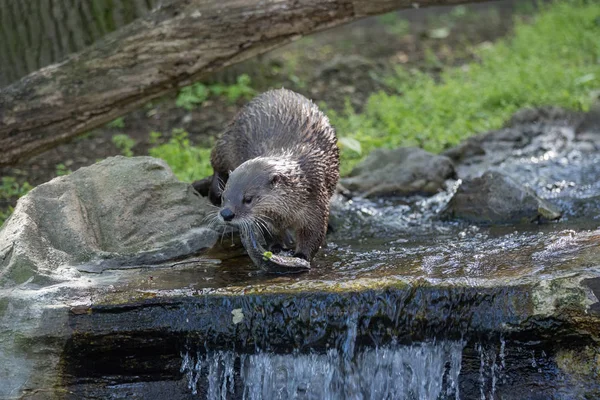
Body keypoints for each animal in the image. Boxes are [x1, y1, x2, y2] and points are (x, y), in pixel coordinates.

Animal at [200, 87, 338, 268]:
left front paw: (301, 256)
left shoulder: (316, 201)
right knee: (216, 164)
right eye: (225, 197)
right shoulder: (268, 217)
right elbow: (271, 231)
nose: (226, 214)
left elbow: (313, 234)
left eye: (248, 199)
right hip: (226, 142)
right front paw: (276, 247)